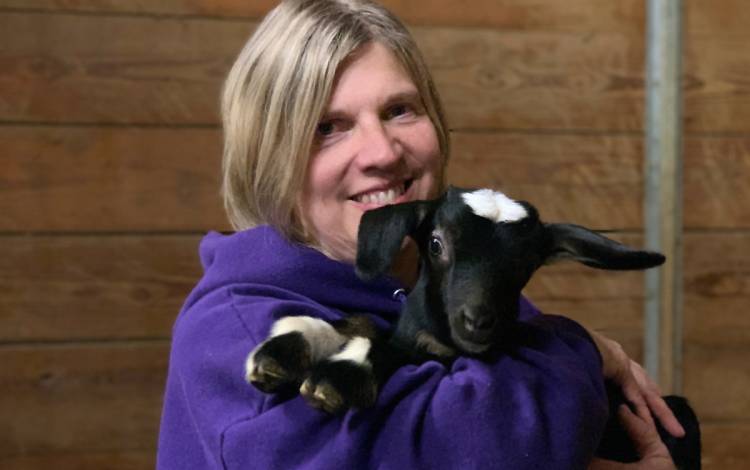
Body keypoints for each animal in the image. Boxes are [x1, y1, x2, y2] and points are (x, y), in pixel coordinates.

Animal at [245, 186, 700, 466]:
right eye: (436, 243)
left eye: (526, 263)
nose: (478, 321)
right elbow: (366, 324)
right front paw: (284, 350)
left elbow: (385, 346)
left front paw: (339, 375)